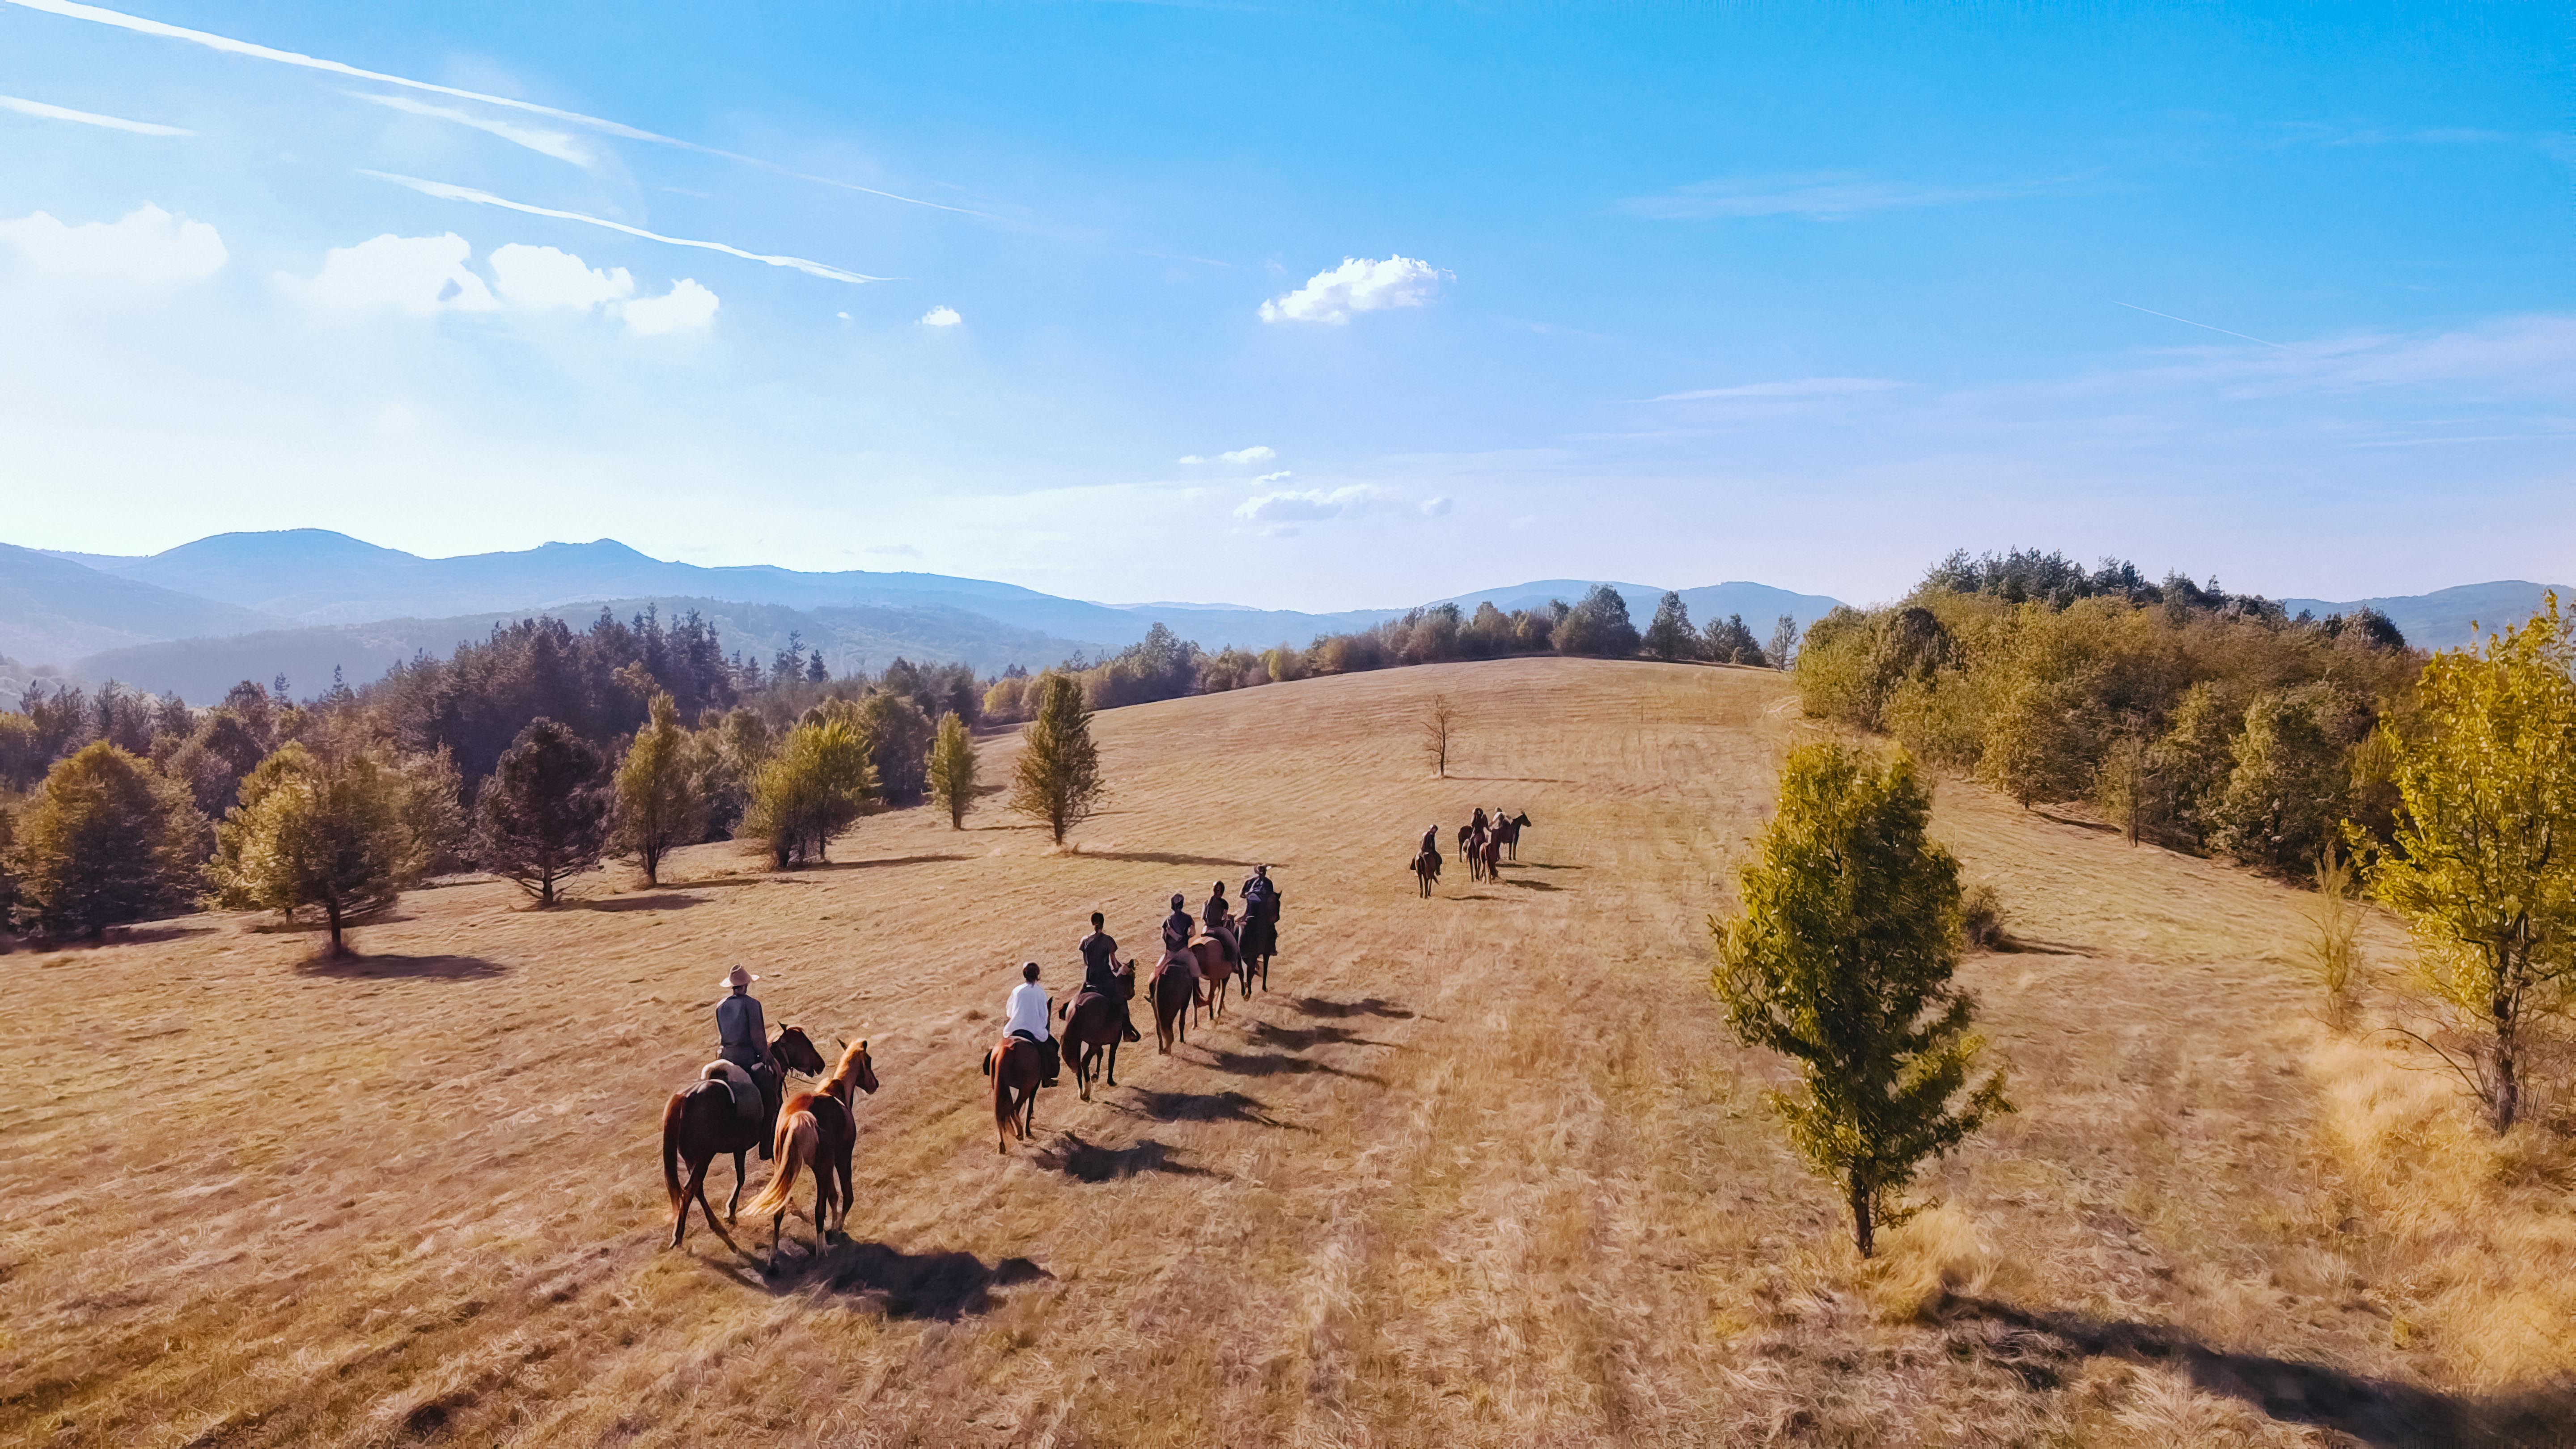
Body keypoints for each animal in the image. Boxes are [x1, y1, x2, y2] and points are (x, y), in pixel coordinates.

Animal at [662, 1025, 829, 1254]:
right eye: (805, 1043)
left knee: (697, 1190)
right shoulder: (773, 1138)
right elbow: (778, 1169)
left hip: (693, 1160)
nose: (821, 1064)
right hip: (703, 1157)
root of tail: (683, 1098)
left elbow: (741, 1177)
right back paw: (679, 1236)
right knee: (690, 1190)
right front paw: (784, 1200)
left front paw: (731, 1212)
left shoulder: (739, 1148)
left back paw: (716, 1227)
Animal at [743, 1037, 880, 1261]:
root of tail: (798, 1119)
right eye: (868, 1061)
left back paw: (773, 1259)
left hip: (785, 1169)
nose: (874, 1085)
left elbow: (834, 1196)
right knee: (819, 1210)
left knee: (780, 1210)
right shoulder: (841, 1159)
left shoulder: (828, 1167)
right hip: (821, 1169)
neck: (836, 1092)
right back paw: (821, 1251)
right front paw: (837, 1229)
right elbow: (846, 1196)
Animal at [984, 1033, 1048, 1153]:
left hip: (998, 1087)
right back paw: (1020, 1133)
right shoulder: (1034, 1085)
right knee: (1015, 1109)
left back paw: (1003, 1145)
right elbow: (1030, 1106)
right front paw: (1028, 1130)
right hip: (1026, 1087)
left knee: (1001, 1115)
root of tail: (1004, 1050)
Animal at [1059, 959, 1136, 1101]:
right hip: (1093, 1043)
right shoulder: (1114, 1040)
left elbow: (1101, 1054)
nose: (1132, 994)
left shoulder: (1096, 1042)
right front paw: (1110, 1081)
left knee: (1078, 1066)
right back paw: (1087, 1091)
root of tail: (1078, 1008)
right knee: (1084, 1062)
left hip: (1079, 1042)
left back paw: (1083, 1091)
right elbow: (1111, 1059)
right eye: (1133, 977)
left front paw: (1096, 1075)